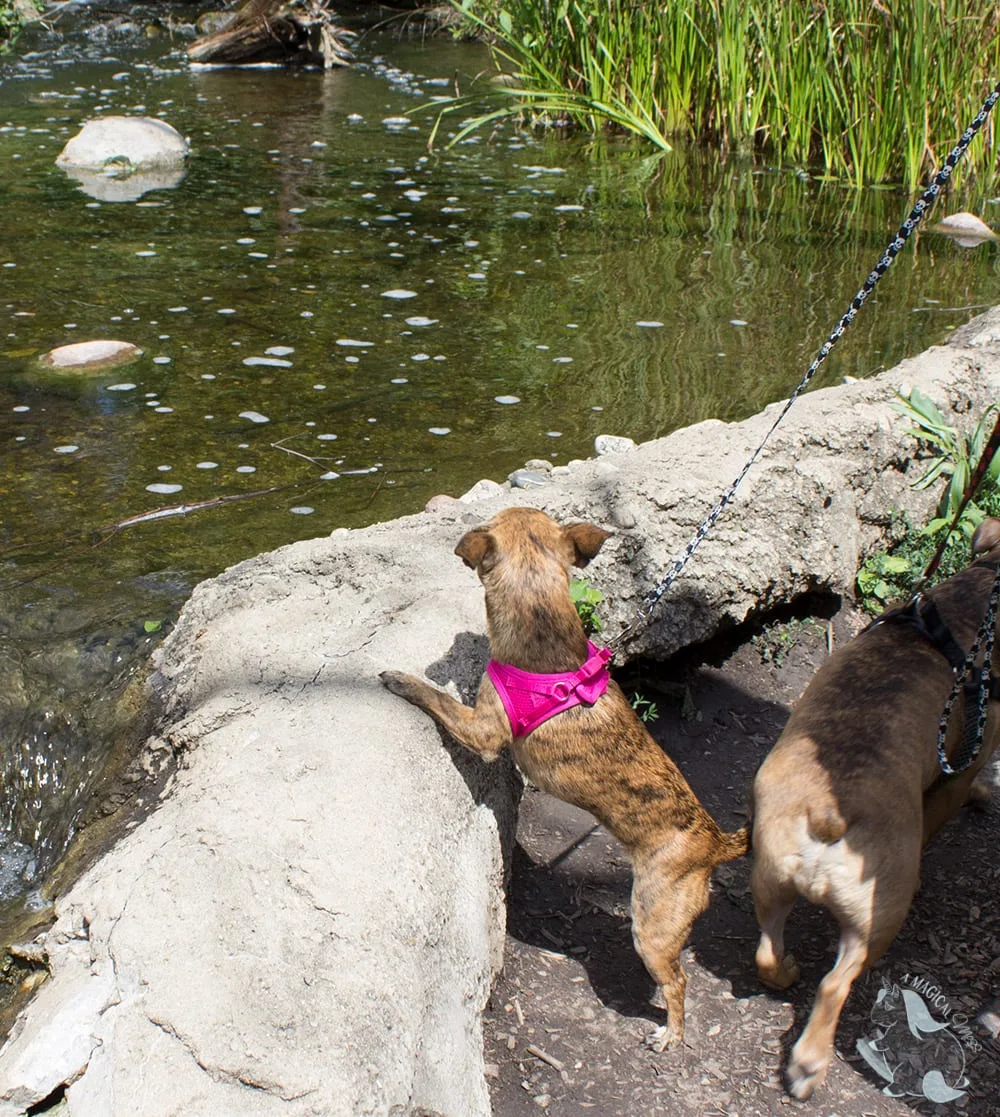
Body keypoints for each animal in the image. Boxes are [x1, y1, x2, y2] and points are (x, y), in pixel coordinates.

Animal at [379, 507, 746, 1045]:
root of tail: (716, 842)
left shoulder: (484, 731)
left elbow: (438, 698)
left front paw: (402, 681)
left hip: (653, 925)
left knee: (678, 980)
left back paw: (670, 1034)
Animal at [750, 518, 1000, 1103]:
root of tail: (830, 813)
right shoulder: (967, 763)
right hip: (877, 918)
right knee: (834, 985)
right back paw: (808, 1064)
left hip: (770, 879)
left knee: (767, 951)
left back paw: (786, 972)